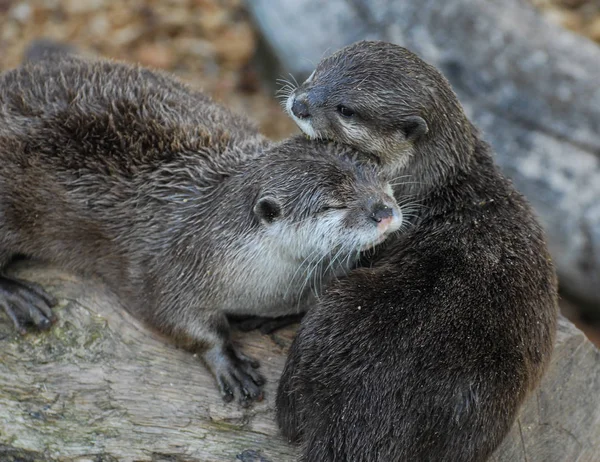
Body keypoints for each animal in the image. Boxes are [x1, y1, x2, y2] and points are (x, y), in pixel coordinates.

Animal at [2, 52, 404, 404]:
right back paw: (21, 298)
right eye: (333, 204)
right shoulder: (170, 267)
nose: (384, 211)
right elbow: (172, 317)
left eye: (378, 176)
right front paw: (228, 363)